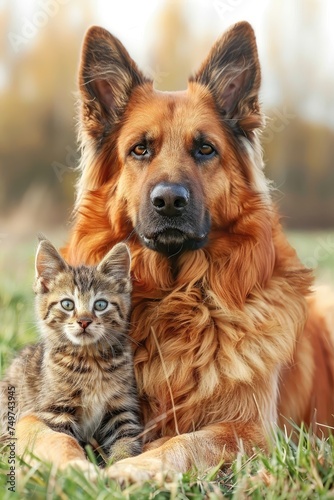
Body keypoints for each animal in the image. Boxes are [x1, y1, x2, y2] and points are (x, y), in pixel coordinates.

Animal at [0, 238, 142, 464]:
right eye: (67, 304)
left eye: (100, 304)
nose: (84, 321)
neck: (90, 359)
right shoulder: (56, 411)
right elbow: (64, 440)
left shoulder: (121, 410)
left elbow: (126, 440)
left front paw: (121, 462)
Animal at [16, 21, 334, 482]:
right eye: (140, 149)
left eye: (205, 149)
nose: (169, 201)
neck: (175, 298)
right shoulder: (37, 416)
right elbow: (46, 434)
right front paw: (76, 471)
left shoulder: (253, 432)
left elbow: (185, 443)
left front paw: (132, 467)